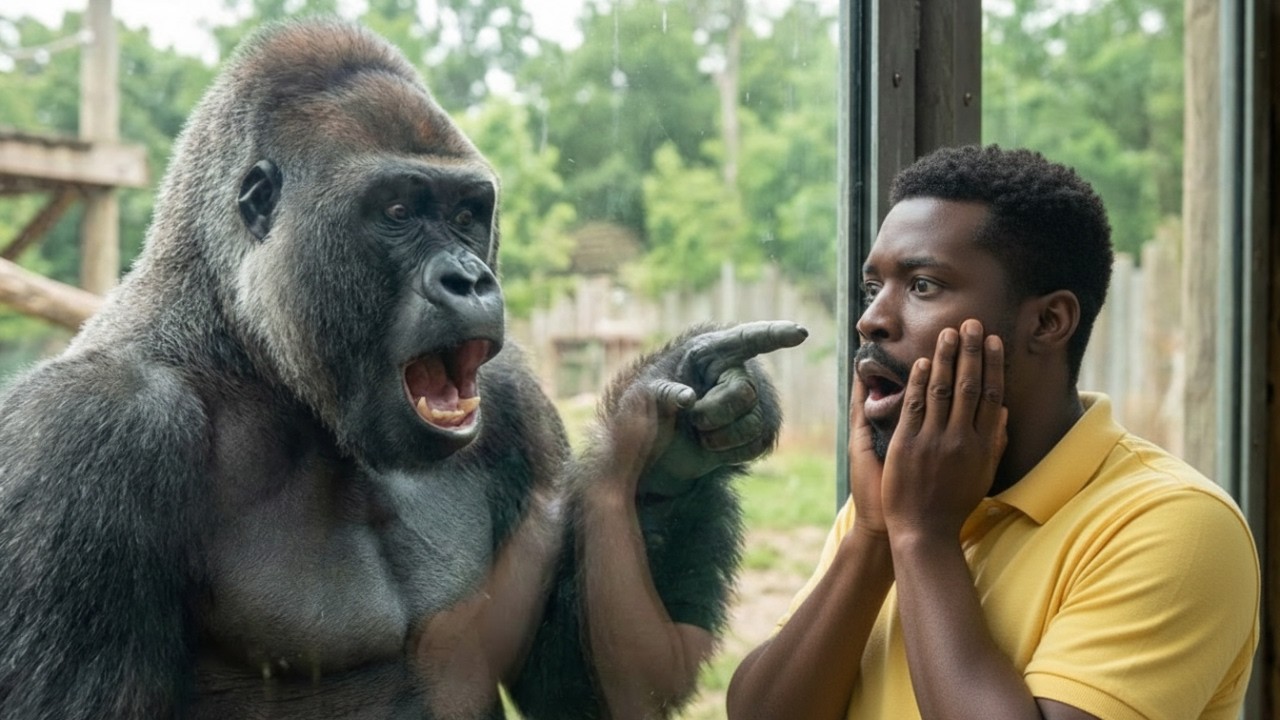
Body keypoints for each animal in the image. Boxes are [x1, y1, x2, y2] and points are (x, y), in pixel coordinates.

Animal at [0, 19, 807, 720]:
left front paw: (672, 457)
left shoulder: (515, 405)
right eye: (397, 210)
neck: (241, 348)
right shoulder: (88, 430)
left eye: (467, 214)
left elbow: (582, 682)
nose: (470, 280)